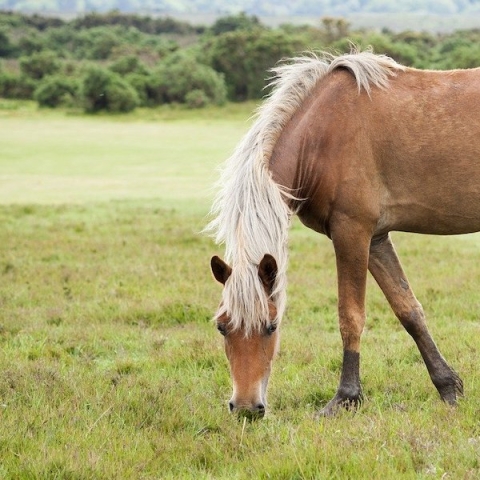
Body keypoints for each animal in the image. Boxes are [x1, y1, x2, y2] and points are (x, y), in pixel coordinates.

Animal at [203, 49, 480, 416]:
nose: (247, 407)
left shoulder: (352, 232)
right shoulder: (376, 240)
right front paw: (448, 387)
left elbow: (350, 316)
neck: (321, 136)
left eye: (271, 325)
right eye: (222, 327)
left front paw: (346, 397)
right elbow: (409, 311)